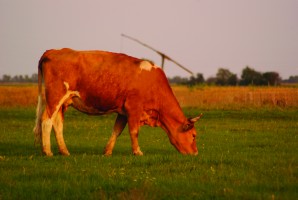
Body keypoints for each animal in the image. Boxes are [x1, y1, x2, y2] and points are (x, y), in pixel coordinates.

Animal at [33, 48, 203, 156]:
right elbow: (134, 131)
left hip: (63, 103)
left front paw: (107, 151)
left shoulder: (123, 111)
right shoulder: (134, 108)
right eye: (194, 135)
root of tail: (54, 50)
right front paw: (137, 152)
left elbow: (117, 130)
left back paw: (64, 151)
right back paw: (47, 151)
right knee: (46, 121)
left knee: (57, 124)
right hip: (55, 98)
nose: (195, 153)